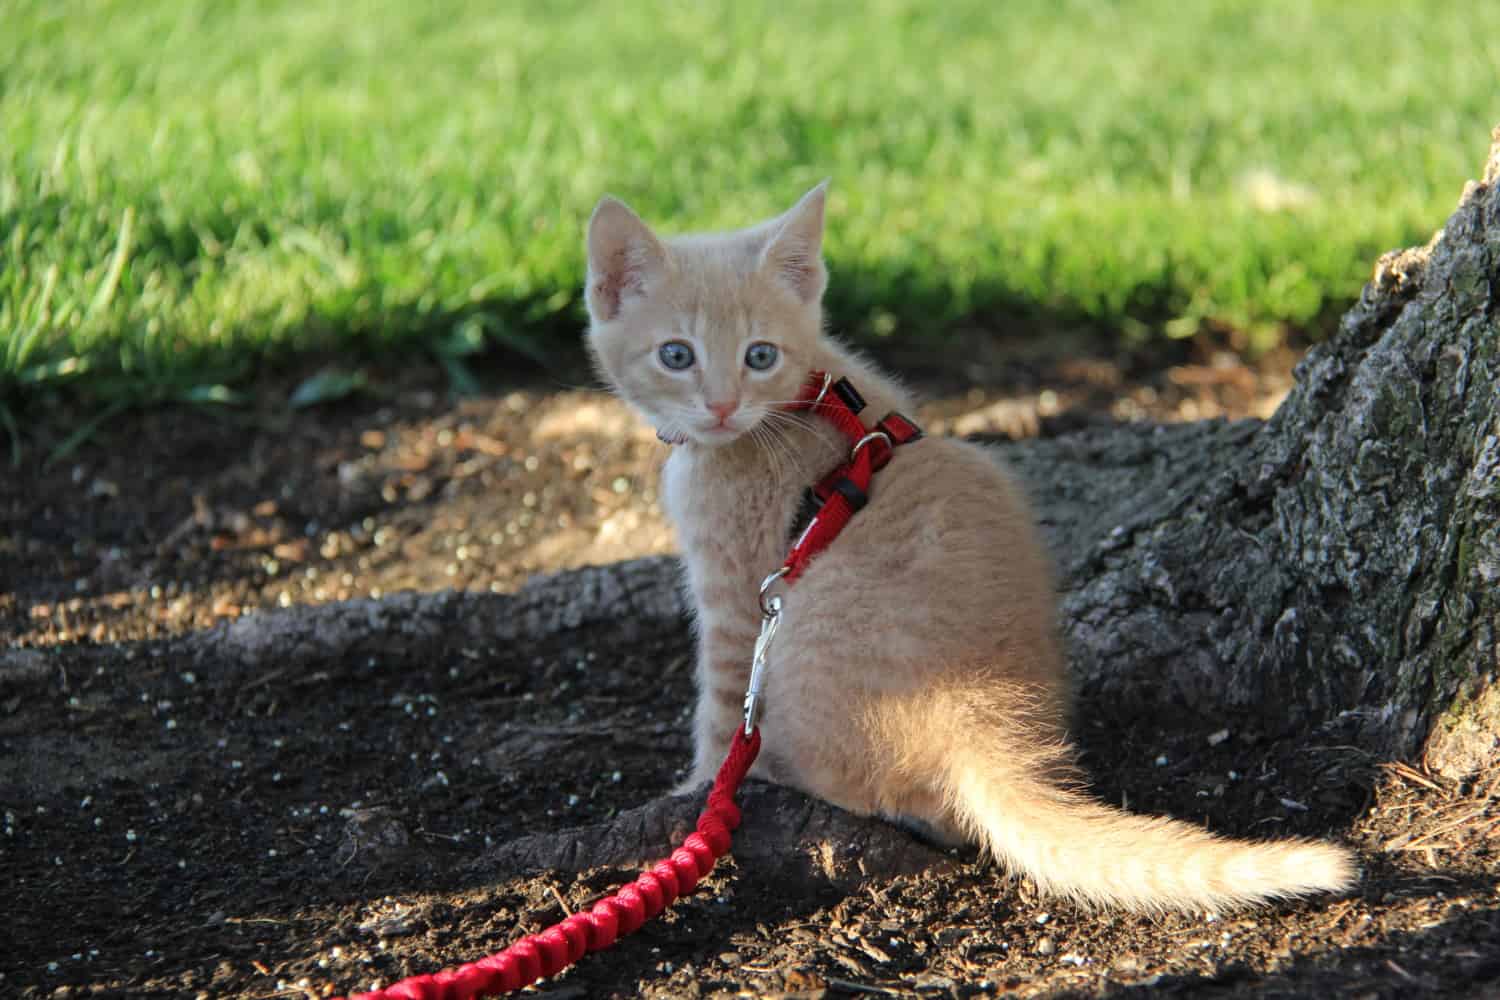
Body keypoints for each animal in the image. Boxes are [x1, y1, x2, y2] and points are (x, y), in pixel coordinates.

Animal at [579, 183, 1356, 911]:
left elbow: (720, 713)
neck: (801, 404)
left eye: (759, 355)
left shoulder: (740, 593)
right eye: (676, 355)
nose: (721, 406)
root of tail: (983, 721)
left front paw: (700, 791)